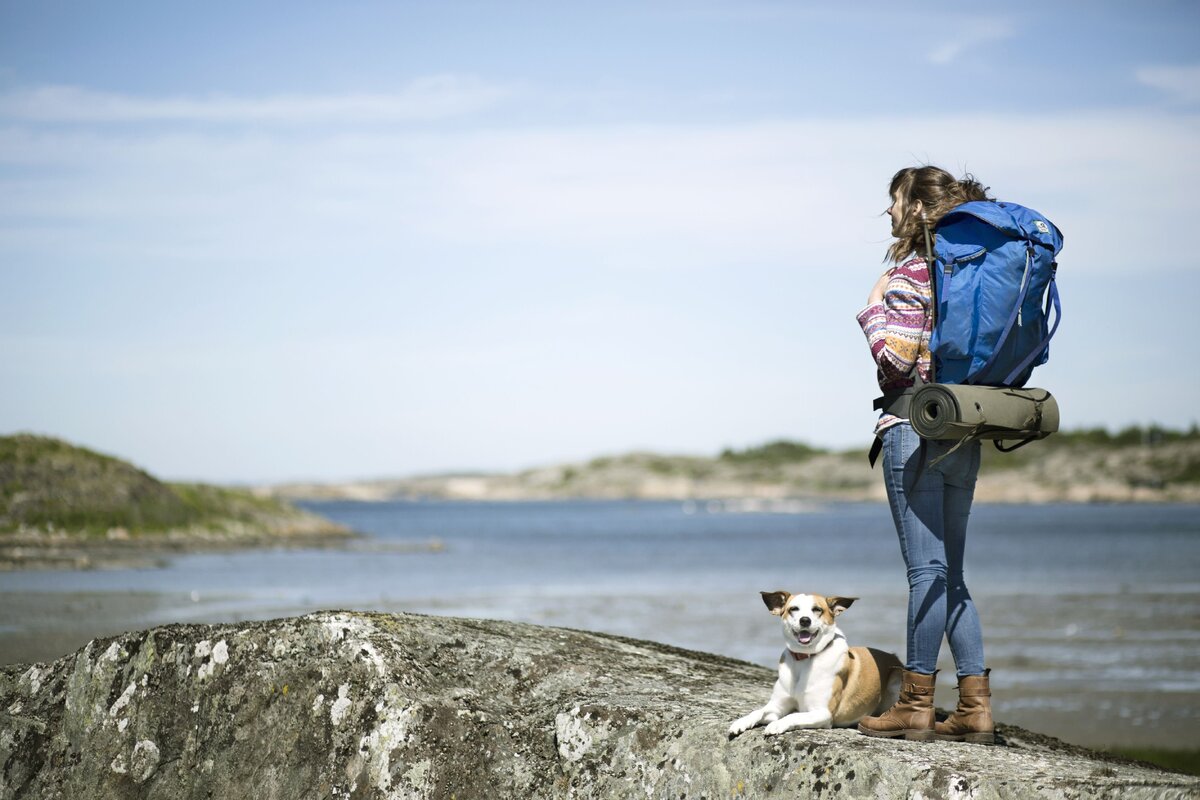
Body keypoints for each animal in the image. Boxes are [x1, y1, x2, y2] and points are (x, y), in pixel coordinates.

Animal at [720, 587, 902, 738]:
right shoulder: (777, 706)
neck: (804, 658)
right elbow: (758, 711)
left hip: (896, 680)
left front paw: (777, 725)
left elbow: (794, 715)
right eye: (793, 609)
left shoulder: (822, 713)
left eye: (817, 610)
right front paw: (741, 722)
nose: (805, 620)